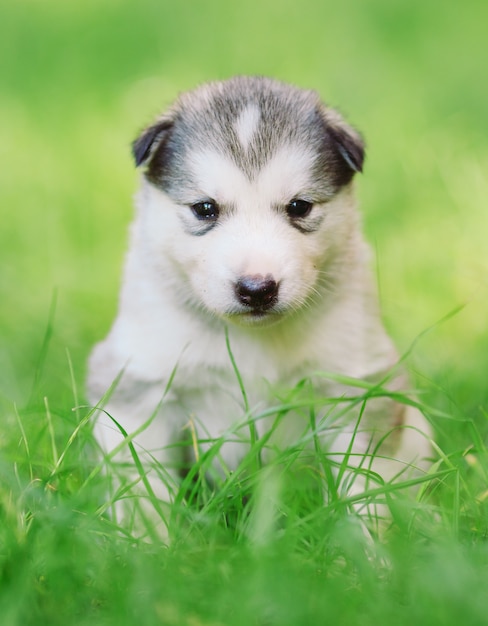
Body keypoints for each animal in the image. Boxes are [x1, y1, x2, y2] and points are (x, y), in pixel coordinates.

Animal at [87, 74, 430, 520]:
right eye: (205, 208)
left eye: (299, 206)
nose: (256, 288)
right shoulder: (140, 383)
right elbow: (143, 487)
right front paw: (148, 535)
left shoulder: (355, 384)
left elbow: (362, 481)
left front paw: (363, 537)